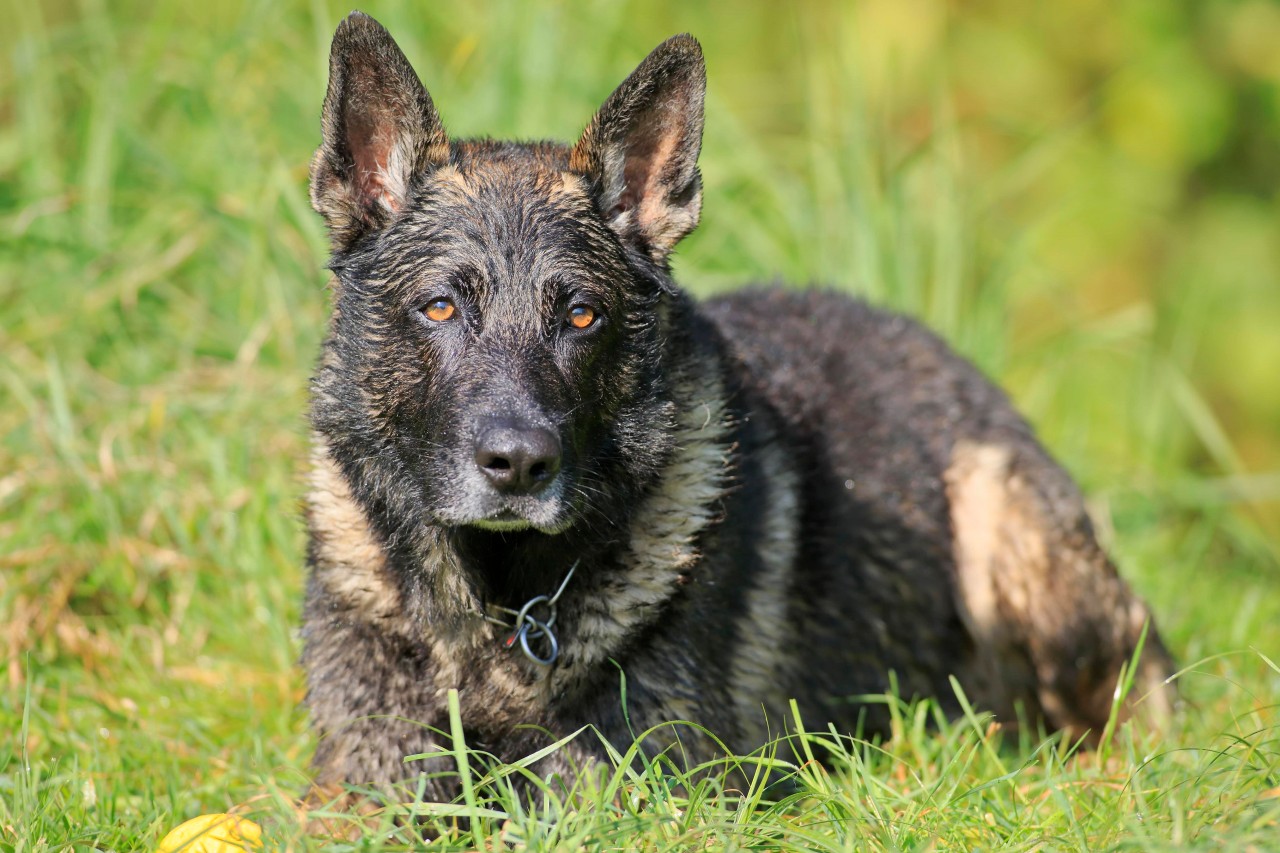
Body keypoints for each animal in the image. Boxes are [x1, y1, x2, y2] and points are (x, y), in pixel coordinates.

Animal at [302, 11, 1177, 799]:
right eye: (440, 307)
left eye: (582, 315)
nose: (519, 464)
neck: (496, 600)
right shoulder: (357, 791)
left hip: (1003, 522)